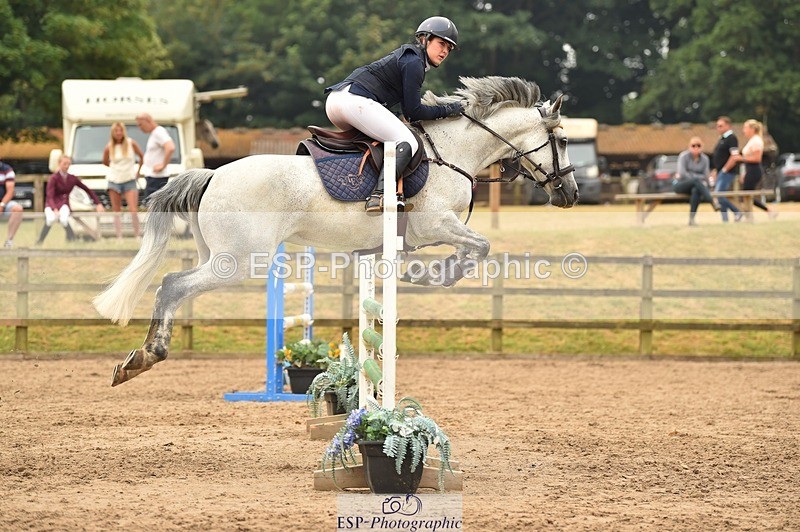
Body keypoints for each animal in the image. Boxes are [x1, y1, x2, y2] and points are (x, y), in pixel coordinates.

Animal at [93, 76, 579, 386]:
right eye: (563, 141)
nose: (571, 193)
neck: (455, 150)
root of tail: (212, 175)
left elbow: (468, 249)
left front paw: (424, 273)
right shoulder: (436, 224)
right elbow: (480, 247)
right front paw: (433, 276)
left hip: (218, 256)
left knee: (174, 284)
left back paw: (138, 358)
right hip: (237, 260)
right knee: (173, 285)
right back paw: (145, 357)